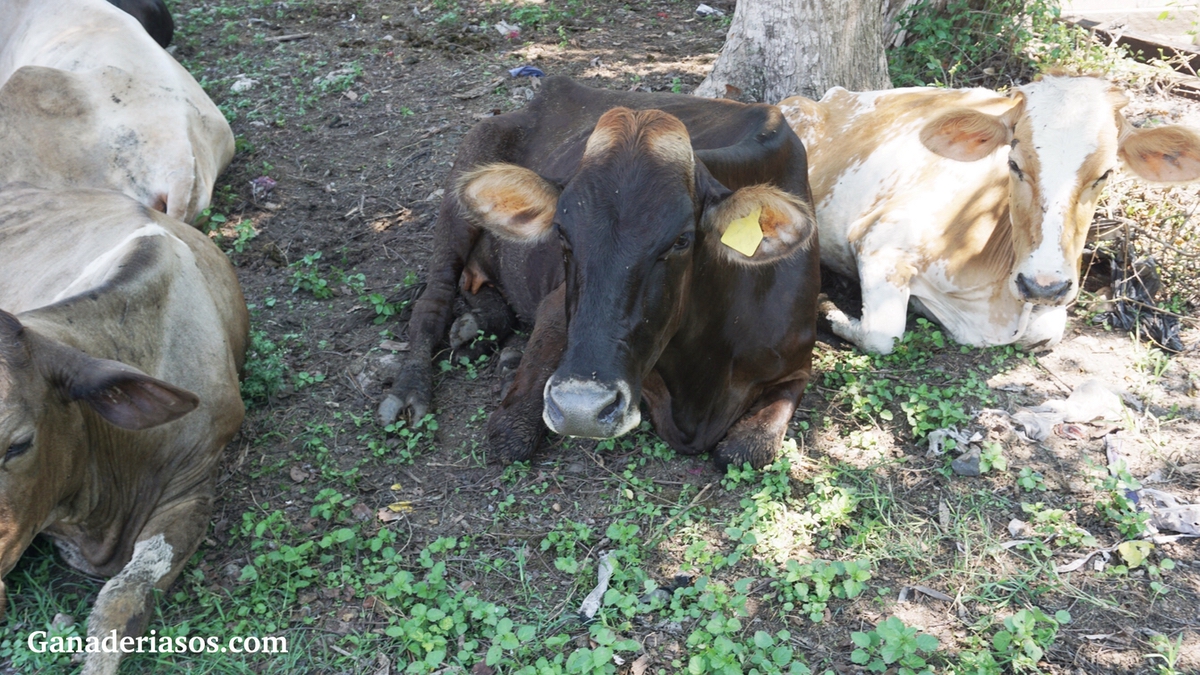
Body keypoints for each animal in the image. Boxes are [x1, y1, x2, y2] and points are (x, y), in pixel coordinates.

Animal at [379, 76, 820, 468]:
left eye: (682, 239)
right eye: (561, 231)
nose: (582, 408)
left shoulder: (798, 362)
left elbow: (748, 448)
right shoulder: (557, 306)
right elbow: (510, 435)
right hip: (463, 180)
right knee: (432, 302)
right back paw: (411, 388)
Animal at [777, 74, 1200, 353]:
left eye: (1105, 173)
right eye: (1013, 163)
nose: (1043, 285)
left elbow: (1048, 331)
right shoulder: (879, 241)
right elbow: (882, 335)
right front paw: (832, 310)